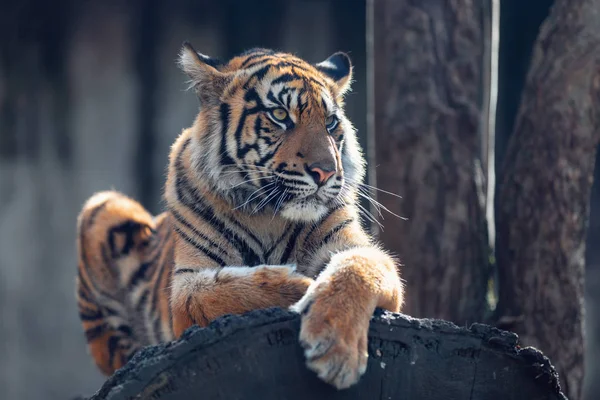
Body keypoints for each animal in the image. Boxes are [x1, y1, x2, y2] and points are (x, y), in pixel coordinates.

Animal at [75, 43, 404, 390]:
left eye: (330, 122)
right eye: (280, 115)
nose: (325, 172)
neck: (269, 214)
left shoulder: (356, 247)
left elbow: (357, 270)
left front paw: (335, 349)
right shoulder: (186, 283)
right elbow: (221, 292)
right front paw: (302, 285)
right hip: (104, 206)